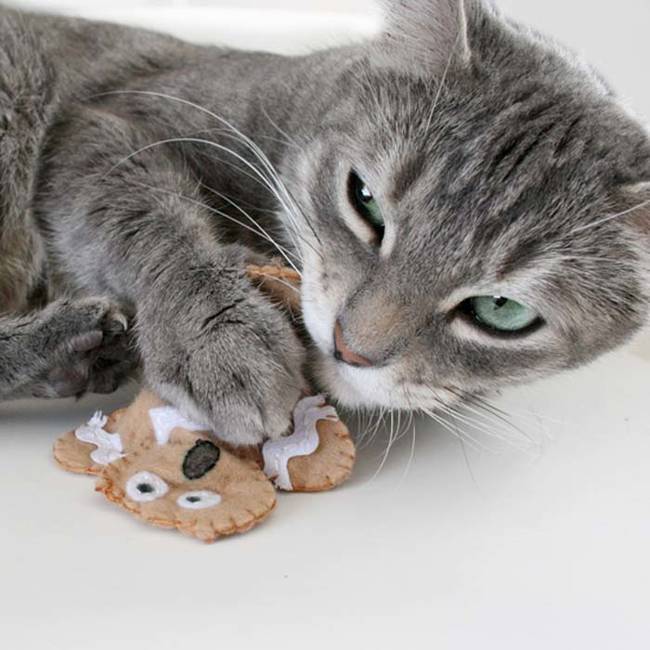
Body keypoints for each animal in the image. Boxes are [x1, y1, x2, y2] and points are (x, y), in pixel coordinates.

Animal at [0, 0, 644, 446]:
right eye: (365, 200)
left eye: (502, 311)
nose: (351, 349)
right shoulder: (103, 125)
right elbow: (154, 224)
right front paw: (220, 335)